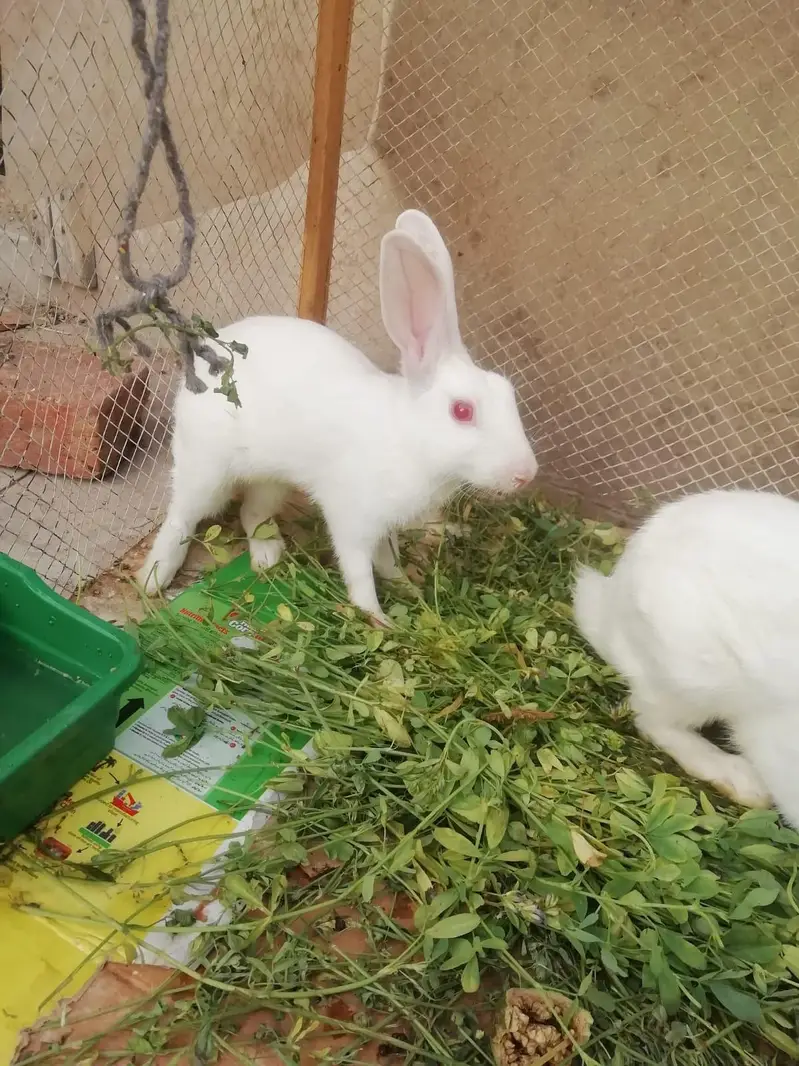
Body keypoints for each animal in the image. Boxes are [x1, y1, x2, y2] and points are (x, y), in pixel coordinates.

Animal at [138, 209, 538, 625]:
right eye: (462, 411)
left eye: (508, 392)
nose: (526, 474)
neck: (409, 439)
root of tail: (199, 365)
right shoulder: (353, 519)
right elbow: (359, 570)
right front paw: (379, 618)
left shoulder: (384, 526)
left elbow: (387, 559)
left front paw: (405, 586)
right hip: (207, 471)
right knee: (181, 517)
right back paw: (153, 578)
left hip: (272, 479)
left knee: (252, 512)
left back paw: (268, 556)